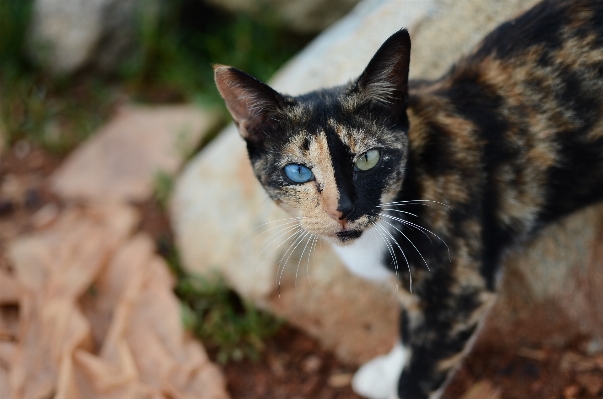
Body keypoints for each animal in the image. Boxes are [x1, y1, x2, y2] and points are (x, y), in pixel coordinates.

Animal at [211, 1, 603, 398]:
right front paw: (390, 369)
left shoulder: (459, 291)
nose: (343, 208)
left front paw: (400, 376)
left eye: (368, 158)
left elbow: (419, 375)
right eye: (297, 172)